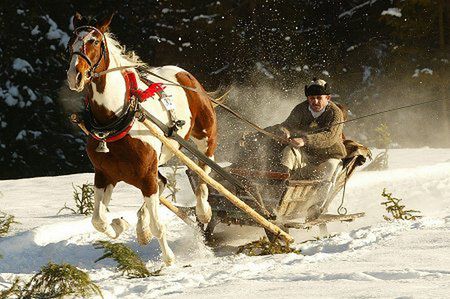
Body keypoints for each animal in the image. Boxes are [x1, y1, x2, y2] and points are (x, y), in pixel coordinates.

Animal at [66, 14, 218, 266]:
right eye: (70, 44)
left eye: (94, 41)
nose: (74, 76)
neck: (115, 119)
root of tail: (183, 73)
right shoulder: (104, 174)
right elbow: (98, 220)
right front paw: (120, 225)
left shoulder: (146, 175)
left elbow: (159, 225)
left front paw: (168, 258)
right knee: (164, 182)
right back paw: (140, 228)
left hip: (205, 136)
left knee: (204, 169)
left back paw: (203, 210)